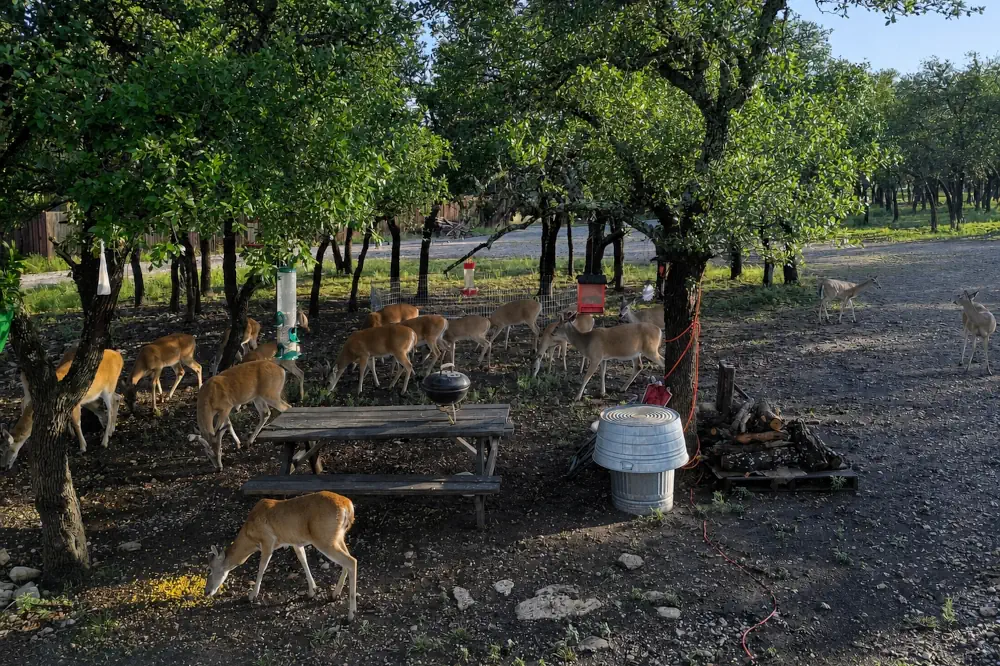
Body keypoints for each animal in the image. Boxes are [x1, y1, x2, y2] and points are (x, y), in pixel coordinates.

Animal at [205, 491, 357, 621]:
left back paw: (351, 614)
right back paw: (335, 594)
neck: (250, 537)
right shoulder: (295, 541)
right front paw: (312, 590)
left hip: (324, 538)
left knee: (351, 561)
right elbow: (303, 559)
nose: (207, 591)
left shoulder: (267, 541)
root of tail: (348, 506)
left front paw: (252, 595)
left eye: (210, 569)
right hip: (338, 537)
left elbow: (262, 567)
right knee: (348, 559)